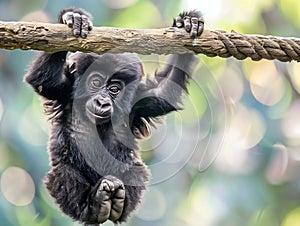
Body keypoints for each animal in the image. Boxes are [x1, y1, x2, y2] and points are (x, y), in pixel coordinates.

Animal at [24, 7, 204, 225]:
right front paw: (73, 17)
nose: (103, 102)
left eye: (114, 89)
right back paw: (94, 206)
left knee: (136, 171)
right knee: (64, 173)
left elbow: (166, 91)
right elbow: (43, 78)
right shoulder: (64, 91)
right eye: (95, 82)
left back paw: (118, 203)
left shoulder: (137, 102)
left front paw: (188, 22)